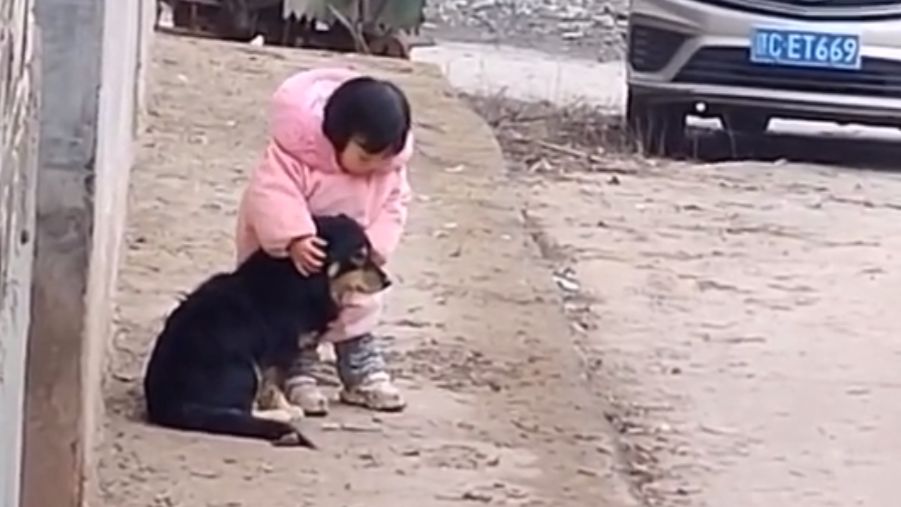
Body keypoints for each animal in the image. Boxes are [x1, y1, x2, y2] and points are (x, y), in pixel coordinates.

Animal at [142, 214, 388, 448]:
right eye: (359, 255)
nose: (388, 281)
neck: (304, 279)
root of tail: (169, 403)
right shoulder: (277, 353)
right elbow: (273, 386)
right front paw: (286, 408)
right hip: (245, 368)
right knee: (241, 411)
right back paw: (278, 417)